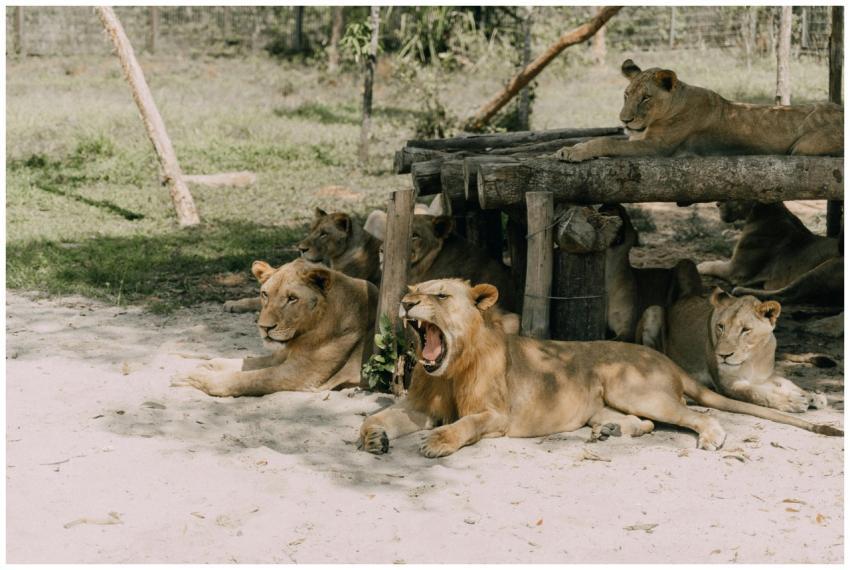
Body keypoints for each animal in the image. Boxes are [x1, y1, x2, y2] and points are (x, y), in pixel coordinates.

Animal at [175, 258, 378, 397]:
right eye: (265, 294)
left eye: (292, 298)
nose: (264, 327)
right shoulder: (281, 356)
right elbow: (244, 362)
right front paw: (207, 365)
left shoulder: (300, 374)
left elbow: (246, 378)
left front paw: (193, 377)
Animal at [557, 59, 843, 162]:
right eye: (626, 95)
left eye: (646, 98)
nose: (624, 120)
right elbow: (600, 139)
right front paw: (569, 148)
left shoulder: (658, 148)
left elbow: (606, 142)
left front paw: (573, 153)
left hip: (804, 146)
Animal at [602, 204, 702, 341]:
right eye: (600, 208)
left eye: (623, 211)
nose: (610, 206)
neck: (608, 269)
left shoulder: (627, 329)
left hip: (685, 263)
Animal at [637, 288, 829, 413]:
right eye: (720, 326)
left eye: (745, 330)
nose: (722, 355)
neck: (753, 357)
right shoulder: (727, 385)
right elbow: (756, 394)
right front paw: (792, 401)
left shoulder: (763, 376)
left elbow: (786, 382)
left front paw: (811, 396)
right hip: (653, 310)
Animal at [697, 201, 842, 305]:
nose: (717, 204)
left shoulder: (735, 270)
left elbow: (715, 264)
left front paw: (700, 266)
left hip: (826, 267)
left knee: (786, 294)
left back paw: (741, 290)